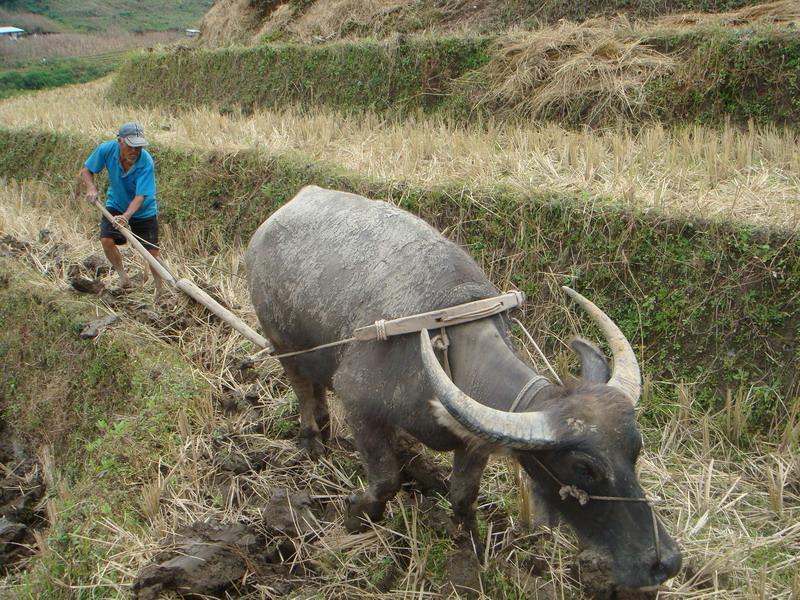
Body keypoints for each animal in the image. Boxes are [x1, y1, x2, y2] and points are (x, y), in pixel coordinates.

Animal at [245, 185, 680, 588]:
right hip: (281, 341)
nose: (664, 562)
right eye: (584, 467)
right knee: (302, 386)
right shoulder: (361, 408)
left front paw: (471, 545)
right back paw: (311, 438)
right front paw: (357, 514)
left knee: (316, 386)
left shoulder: (474, 440)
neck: (447, 346)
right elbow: (385, 479)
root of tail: (290, 205)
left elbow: (463, 495)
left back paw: (323, 426)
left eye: (635, 449)